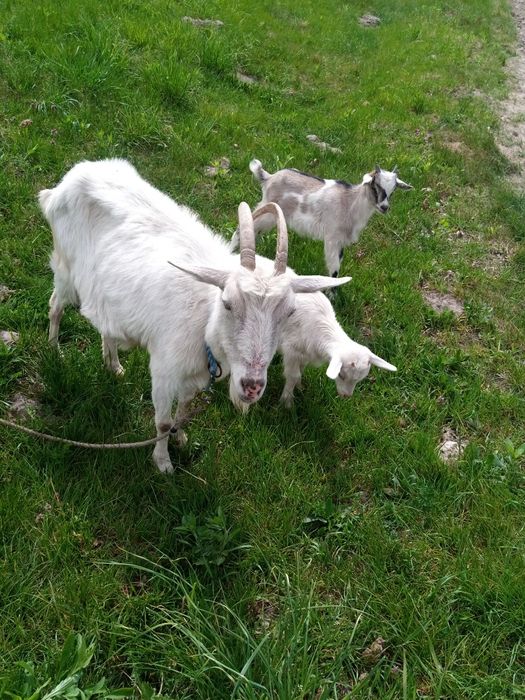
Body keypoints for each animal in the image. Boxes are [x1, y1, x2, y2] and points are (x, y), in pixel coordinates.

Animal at [39, 159, 350, 473]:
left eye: (288, 312)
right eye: (227, 303)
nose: (252, 387)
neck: (205, 322)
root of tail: (65, 184)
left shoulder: (194, 375)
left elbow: (183, 410)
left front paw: (181, 438)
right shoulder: (164, 370)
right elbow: (163, 423)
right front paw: (163, 463)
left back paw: (113, 365)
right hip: (66, 270)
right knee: (55, 306)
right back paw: (54, 350)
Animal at [231, 160, 413, 278]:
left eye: (393, 190)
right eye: (376, 186)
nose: (384, 207)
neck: (351, 203)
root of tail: (269, 177)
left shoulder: (340, 241)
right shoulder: (332, 237)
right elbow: (334, 268)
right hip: (267, 209)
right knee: (242, 228)